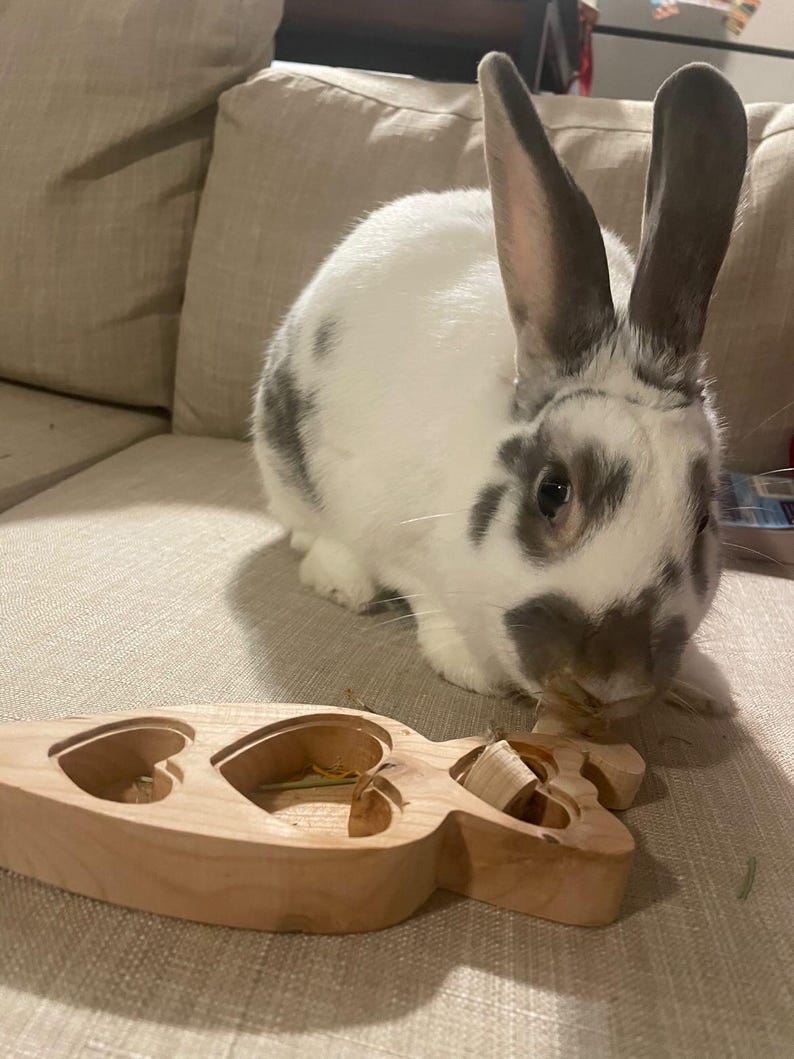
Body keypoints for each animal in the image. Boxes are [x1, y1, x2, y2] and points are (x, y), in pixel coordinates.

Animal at [253, 53, 747, 722]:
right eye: (551, 492)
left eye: (703, 523)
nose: (612, 683)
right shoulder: (385, 524)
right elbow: (422, 592)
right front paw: (468, 666)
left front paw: (705, 689)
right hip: (283, 466)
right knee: (306, 530)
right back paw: (341, 581)